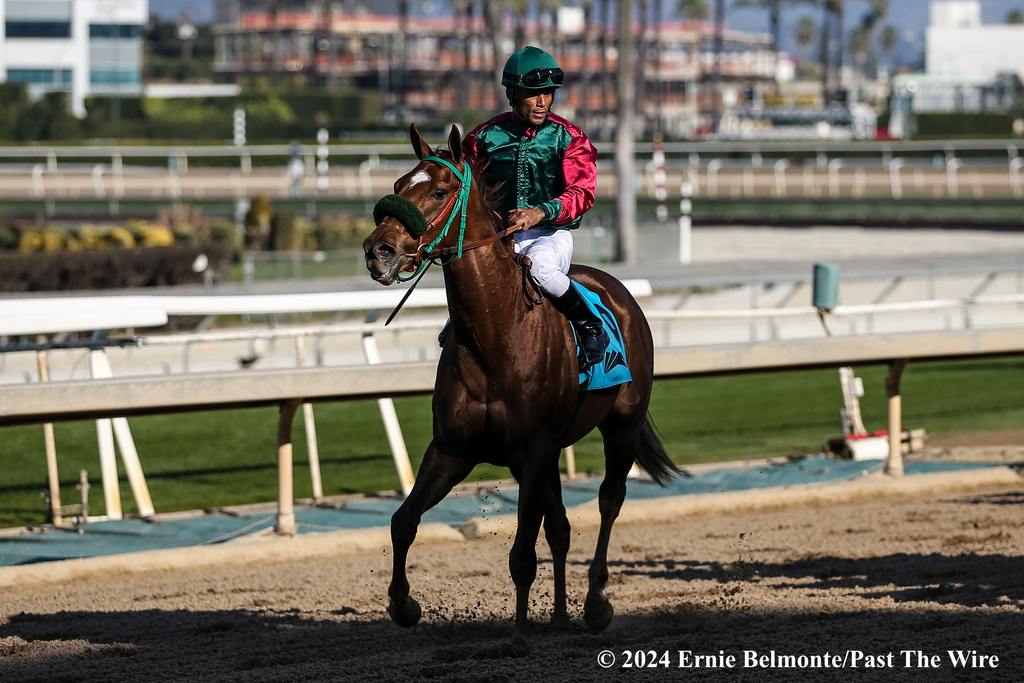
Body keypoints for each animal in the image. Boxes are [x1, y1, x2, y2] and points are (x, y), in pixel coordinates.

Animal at [364, 125, 675, 643]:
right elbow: (403, 521)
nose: (378, 251)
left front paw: (518, 635)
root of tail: (619, 292)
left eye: (440, 191)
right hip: (546, 455)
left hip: (621, 426)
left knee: (609, 502)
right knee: (561, 527)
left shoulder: (532, 450)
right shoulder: (455, 449)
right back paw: (561, 615)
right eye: (399, 182)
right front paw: (403, 605)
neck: (496, 335)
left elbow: (522, 555)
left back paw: (595, 603)